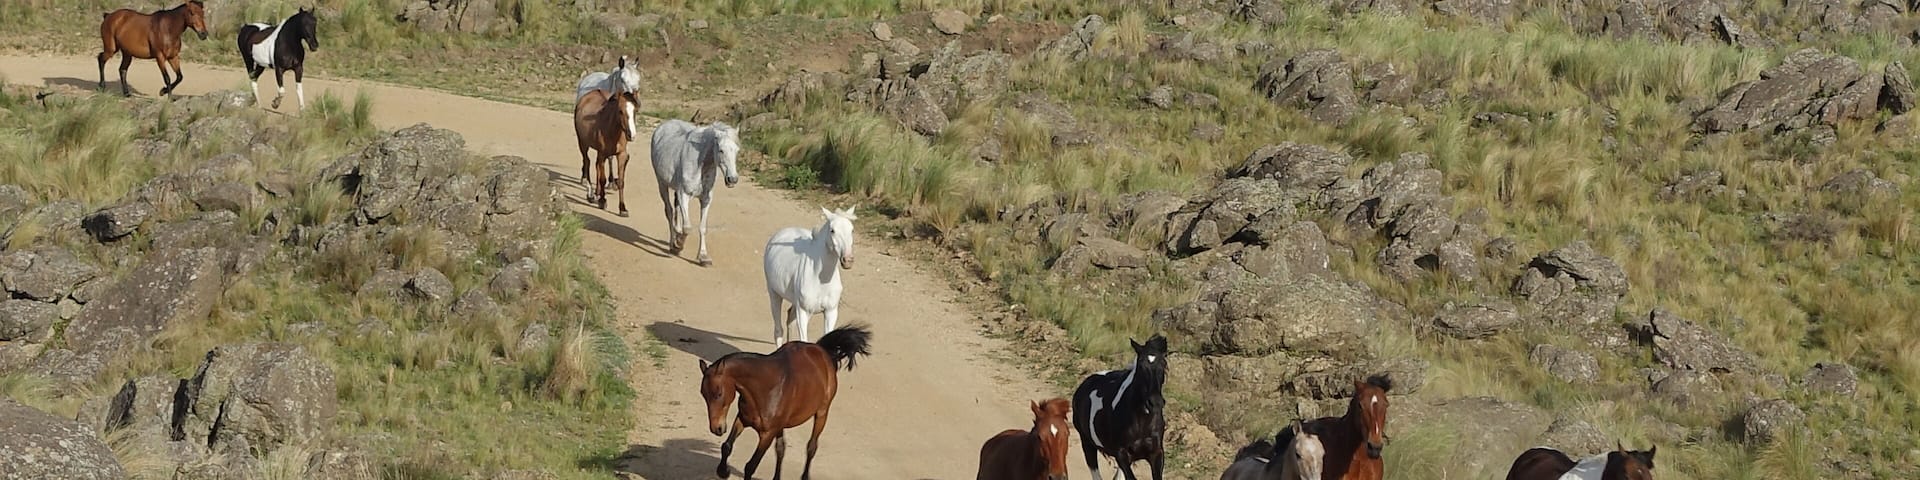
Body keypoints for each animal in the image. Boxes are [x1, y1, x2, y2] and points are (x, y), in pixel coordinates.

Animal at [649, 119, 741, 266]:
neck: (700, 164)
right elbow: (688, 227)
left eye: (737, 151)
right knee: (669, 212)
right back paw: (672, 244)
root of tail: (663, 125)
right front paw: (678, 245)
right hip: (662, 184)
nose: (732, 179)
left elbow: (702, 227)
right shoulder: (683, 195)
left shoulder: (706, 199)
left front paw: (703, 257)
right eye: (721, 150)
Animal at [699, 324, 872, 480]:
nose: (717, 428)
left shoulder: (767, 434)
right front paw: (723, 471)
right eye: (703, 394)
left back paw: (805, 476)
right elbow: (726, 446)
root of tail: (821, 351)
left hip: (822, 413)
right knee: (781, 449)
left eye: (719, 393)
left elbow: (750, 466)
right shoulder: (743, 419)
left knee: (811, 447)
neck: (765, 387)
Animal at [763, 207, 857, 345]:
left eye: (852, 230)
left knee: (790, 318)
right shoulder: (803, 312)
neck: (820, 280)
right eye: (832, 230)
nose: (848, 260)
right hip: (774, 294)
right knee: (778, 330)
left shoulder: (831, 312)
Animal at [1073, 335, 1170, 480]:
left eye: (1164, 364)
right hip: (1087, 444)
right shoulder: (1121, 454)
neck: (1141, 421)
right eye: (1141, 365)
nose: (1155, 402)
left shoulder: (1156, 454)